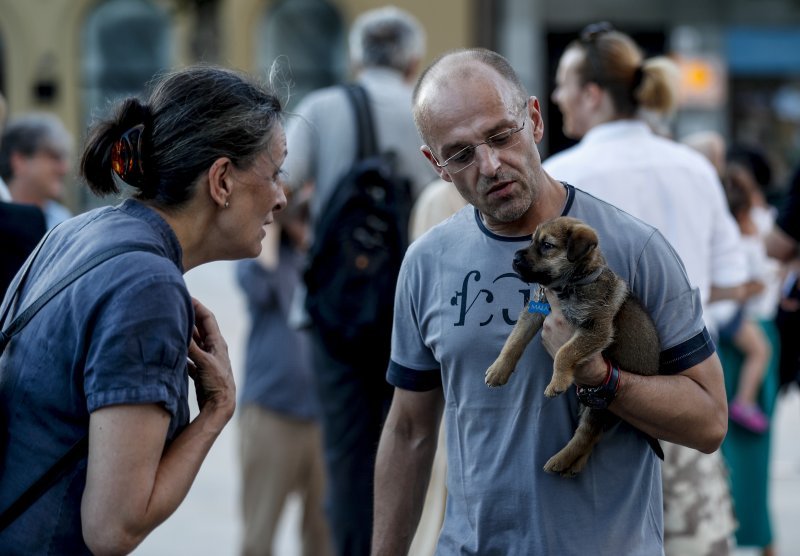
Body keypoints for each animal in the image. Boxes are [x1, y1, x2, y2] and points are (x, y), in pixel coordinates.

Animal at [482, 215, 664, 476]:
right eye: (532, 241)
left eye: (547, 245)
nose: (515, 258)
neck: (571, 285)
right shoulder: (535, 312)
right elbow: (514, 340)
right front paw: (498, 370)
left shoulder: (594, 328)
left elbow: (564, 352)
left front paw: (557, 382)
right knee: (592, 437)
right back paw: (571, 464)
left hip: (598, 404)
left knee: (586, 434)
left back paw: (559, 460)